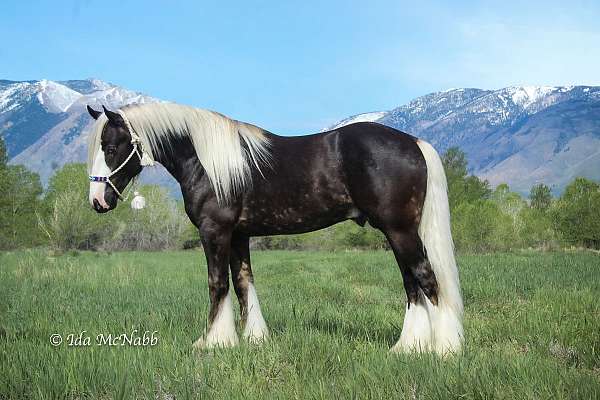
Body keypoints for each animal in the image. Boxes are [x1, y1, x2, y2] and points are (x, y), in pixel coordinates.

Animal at [85, 102, 464, 354]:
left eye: (111, 146)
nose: (98, 201)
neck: (207, 160)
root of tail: (414, 143)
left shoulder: (214, 231)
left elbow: (217, 284)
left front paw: (211, 342)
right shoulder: (239, 235)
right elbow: (243, 284)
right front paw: (252, 339)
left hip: (400, 231)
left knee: (427, 280)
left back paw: (444, 350)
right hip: (397, 233)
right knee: (412, 286)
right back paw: (408, 348)